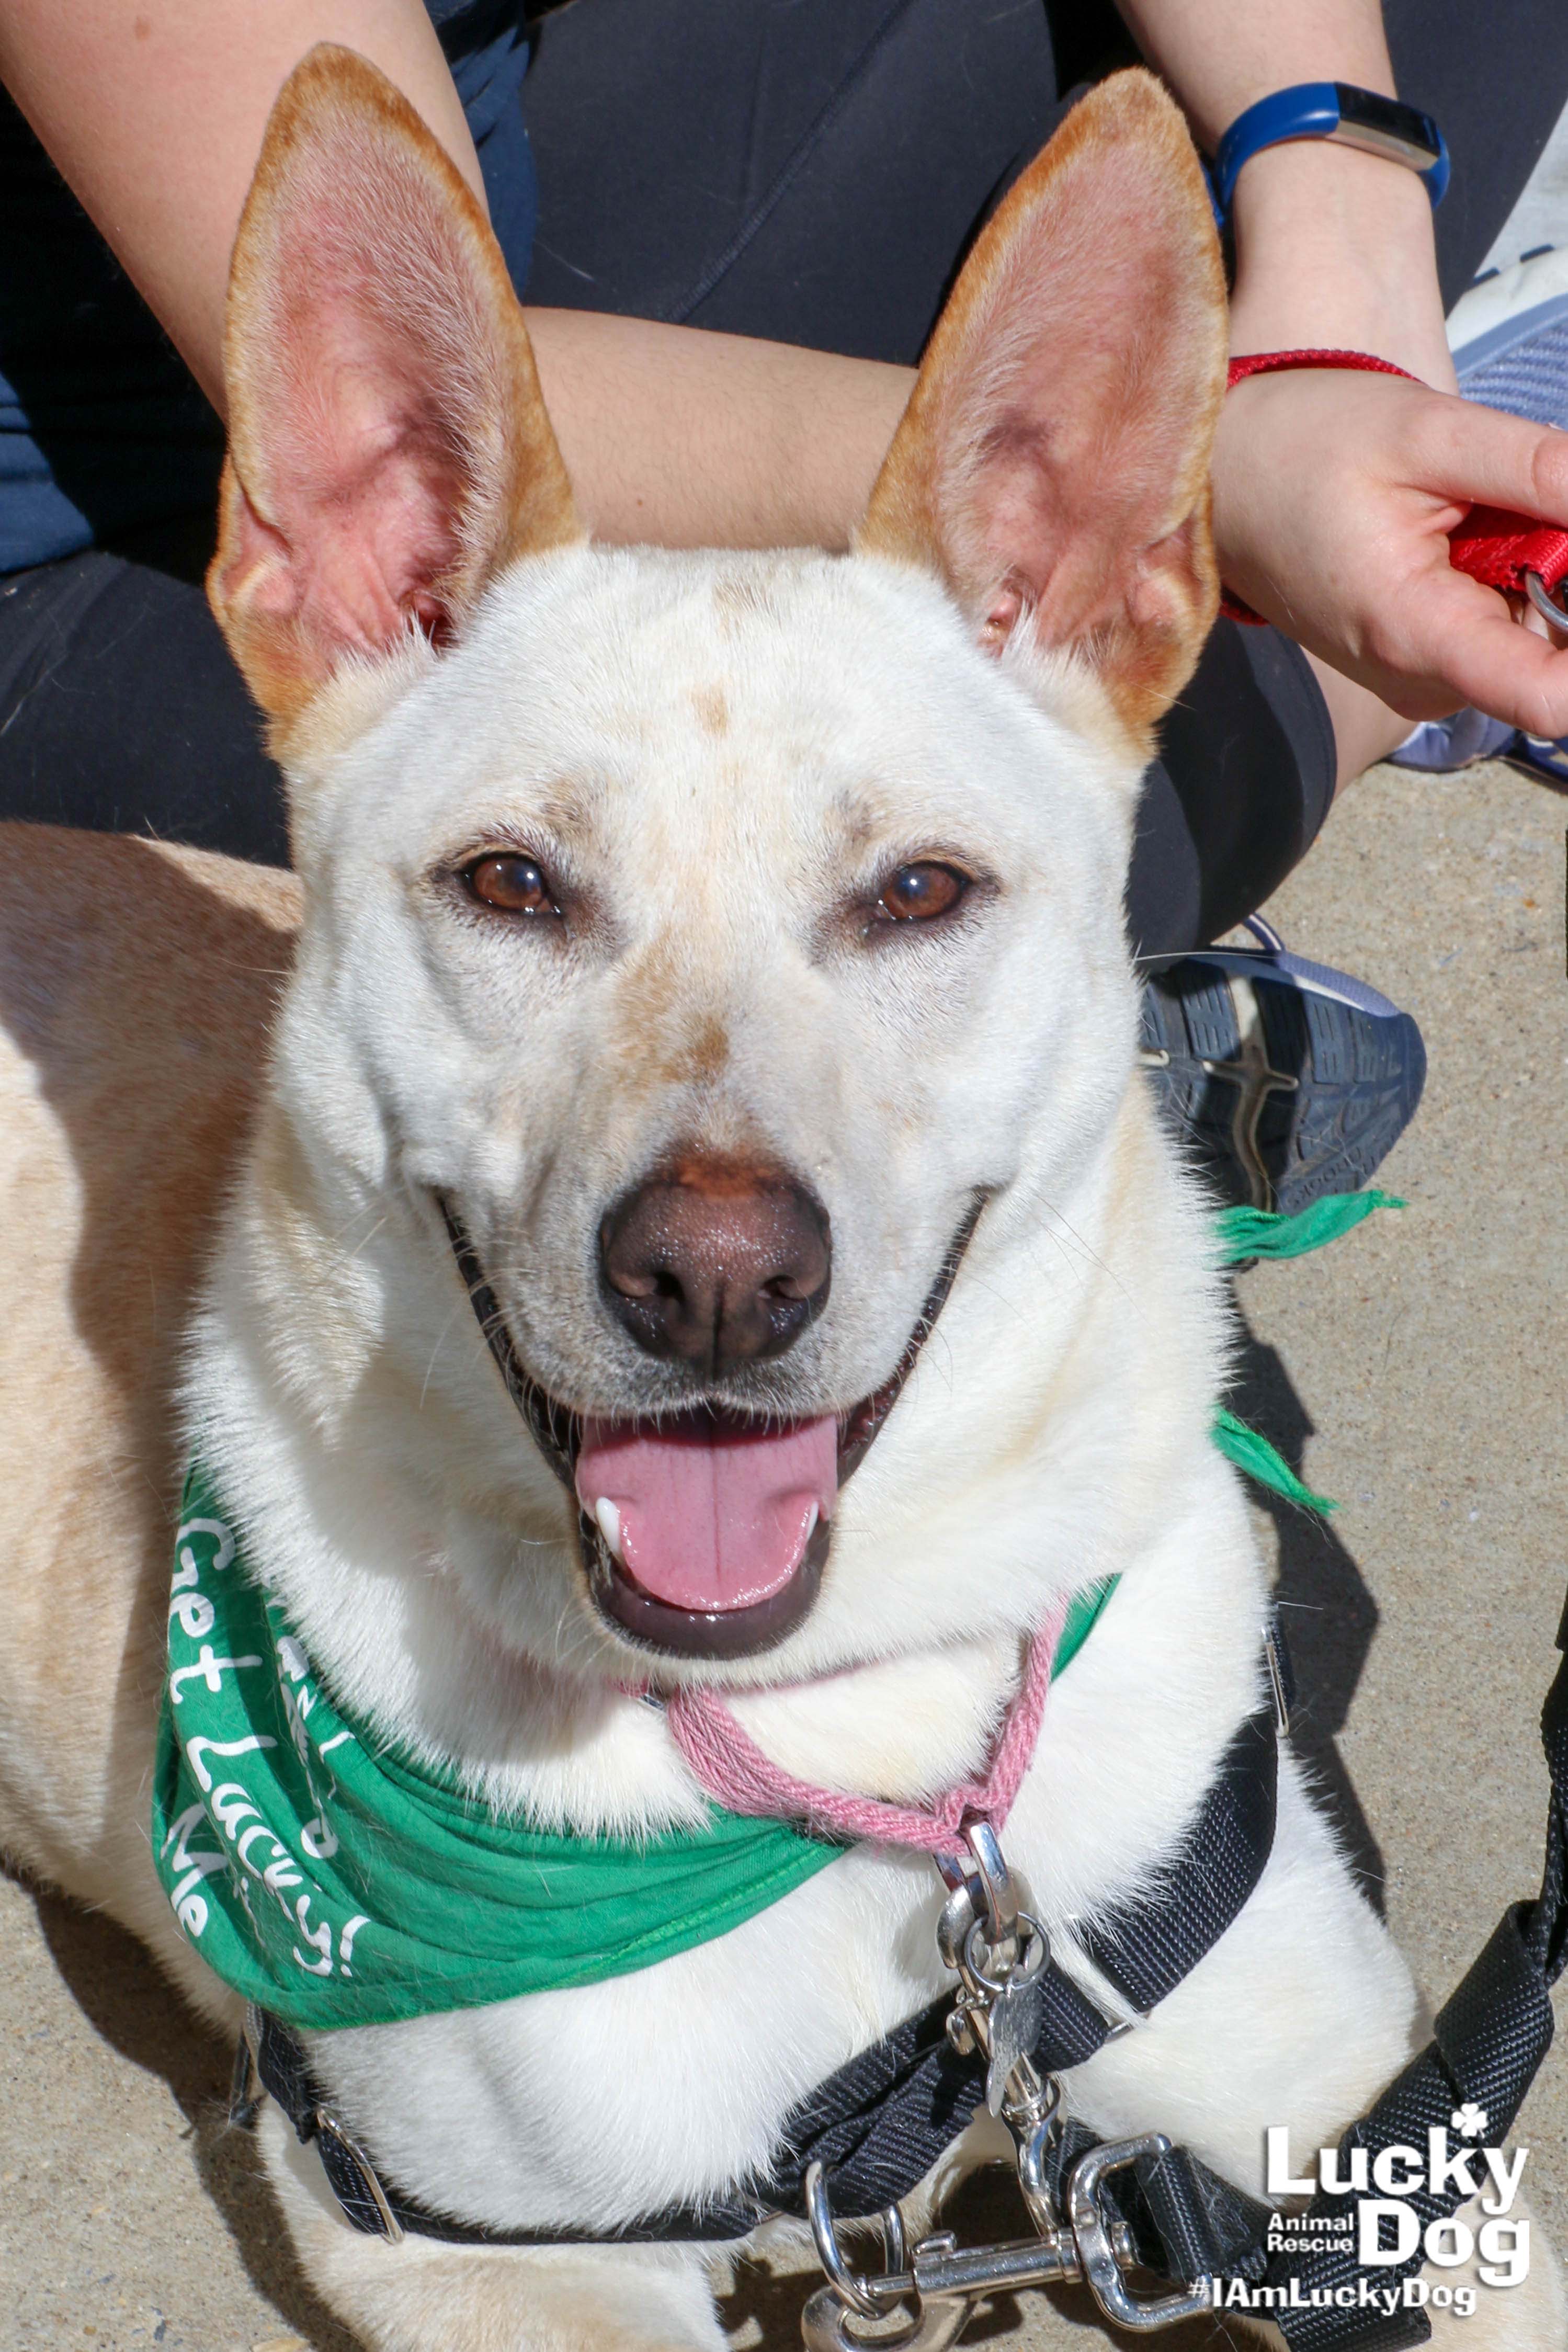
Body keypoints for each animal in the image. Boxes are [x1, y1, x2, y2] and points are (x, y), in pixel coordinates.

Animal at [0, 46, 1561, 2352]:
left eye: (915, 891)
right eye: (509, 883)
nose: (717, 1277)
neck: (842, 1750)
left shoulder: (1356, 2122)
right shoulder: (473, 2253)